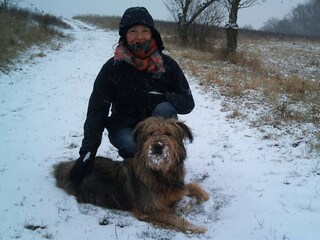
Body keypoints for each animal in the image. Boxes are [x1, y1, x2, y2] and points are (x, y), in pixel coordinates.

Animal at [54, 117, 210, 233]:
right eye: (151, 133)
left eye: (168, 133)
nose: (157, 146)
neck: (159, 173)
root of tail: (66, 167)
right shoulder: (150, 208)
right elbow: (175, 219)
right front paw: (196, 227)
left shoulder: (176, 187)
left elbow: (196, 188)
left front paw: (195, 200)